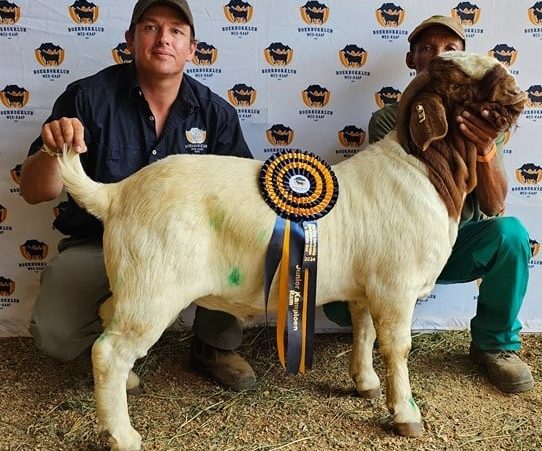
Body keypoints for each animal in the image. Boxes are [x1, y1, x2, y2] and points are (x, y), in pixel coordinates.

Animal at [57, 51, 528, 450]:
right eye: (456, 82)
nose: (516, 89)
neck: (425, 173)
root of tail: (116, 194)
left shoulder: (366, 289)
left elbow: (363, 333)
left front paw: (365, 383)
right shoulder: (395, 288)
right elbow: (397, 348)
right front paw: (406, 415)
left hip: (132, 283)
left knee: (106, 320)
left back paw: (129, 385)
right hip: (153, 289)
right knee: (109, 350)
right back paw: (122, 435)